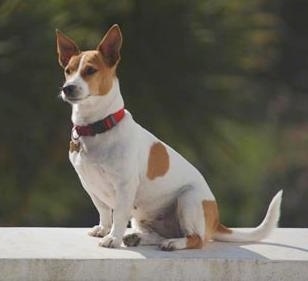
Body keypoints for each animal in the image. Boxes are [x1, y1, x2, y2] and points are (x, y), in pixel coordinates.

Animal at [56, 25, 282, 250]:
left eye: (90, 71)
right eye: (68, 71)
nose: (67, 88)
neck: (98, 126)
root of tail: (216, 221)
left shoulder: (125, 186)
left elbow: (118, 215)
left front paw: (113, 238)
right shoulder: (89, 185)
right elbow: (103, 210)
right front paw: (104, 229)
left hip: (188, 200)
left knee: (196, 239)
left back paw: (174, 242)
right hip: (144, 218)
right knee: (157, 234)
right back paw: (139, 237)